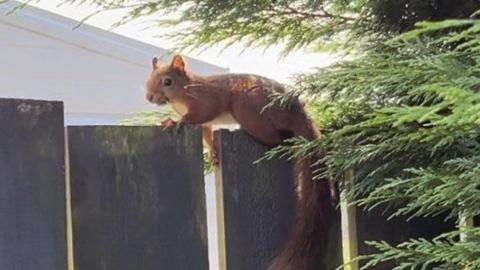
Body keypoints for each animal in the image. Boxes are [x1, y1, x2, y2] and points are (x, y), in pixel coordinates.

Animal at [145, 55, 334, 270]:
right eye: (149, 78)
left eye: (167, 81)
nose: (149, 97)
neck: (185, 89)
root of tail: (299, 112)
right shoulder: (206, 124)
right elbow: (207, 135)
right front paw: (213, 153)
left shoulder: (206, 101)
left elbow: (198, 116)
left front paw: (176, 122)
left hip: (247, 106)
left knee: (274, 138)